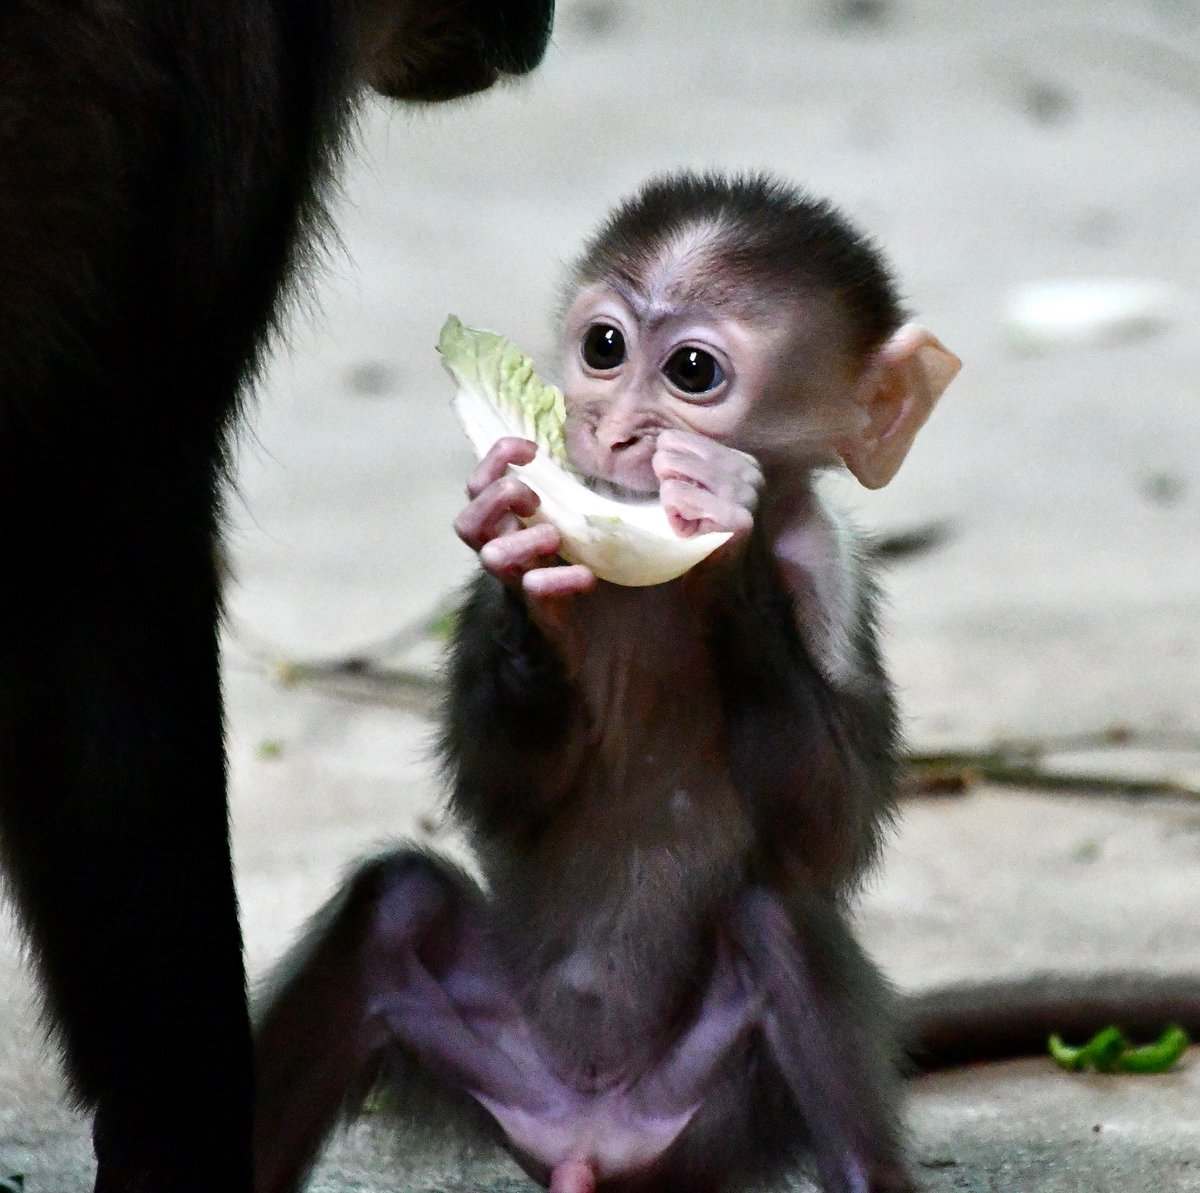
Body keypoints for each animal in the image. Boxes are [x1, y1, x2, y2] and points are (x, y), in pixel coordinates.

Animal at [252, 171, 965, 1193]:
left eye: (693, 372)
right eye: (603, 348)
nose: (607, 429)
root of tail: (589, 1132)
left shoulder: (828, 570)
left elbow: (829, 834)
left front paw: (730, 549)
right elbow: (503, 792)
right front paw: (525, 591)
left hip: (714, 1120)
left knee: (773, 920)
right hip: (501, 1069)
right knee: (395, 905)